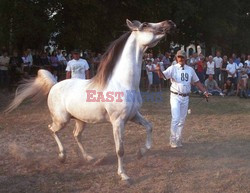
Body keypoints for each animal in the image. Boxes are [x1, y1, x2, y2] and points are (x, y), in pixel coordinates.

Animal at [6, 19, 176, 182]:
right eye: (145, 24)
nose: (169, 23)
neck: (122, 83)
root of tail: (54, 85)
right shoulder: (118, 122)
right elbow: (120, 150)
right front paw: (124, 176)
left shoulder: (134, 115)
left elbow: (149, 127)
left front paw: (140, 153)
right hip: (62, 120)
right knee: (52, 129)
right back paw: (62, 156)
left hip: (80, 120)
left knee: (76, 135)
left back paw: (89, 158)